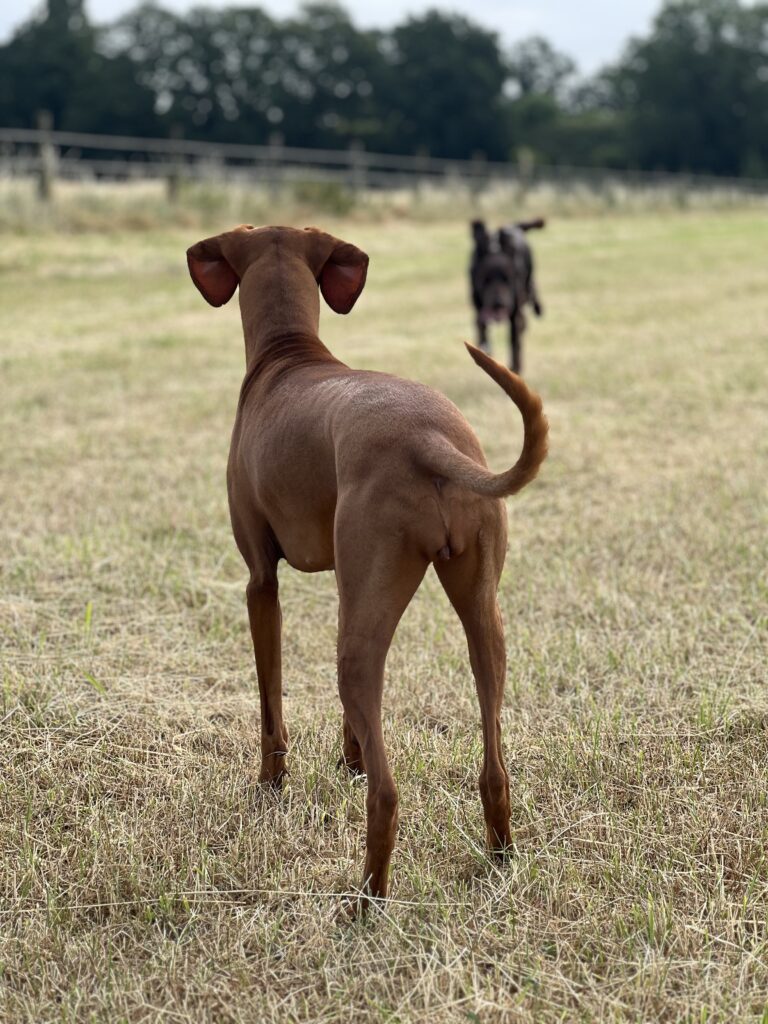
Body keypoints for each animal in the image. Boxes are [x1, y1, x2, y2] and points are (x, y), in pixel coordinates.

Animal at [470, 218, 545, 374]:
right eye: (486, 280)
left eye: (507, 279)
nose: (499, 304)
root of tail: (514, 225)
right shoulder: (478, 306)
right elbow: (481, 327)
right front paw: (484, 350)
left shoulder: (514, 310)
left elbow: (514, 340)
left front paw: (515, 368)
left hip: (528, 280)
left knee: (532, 291)